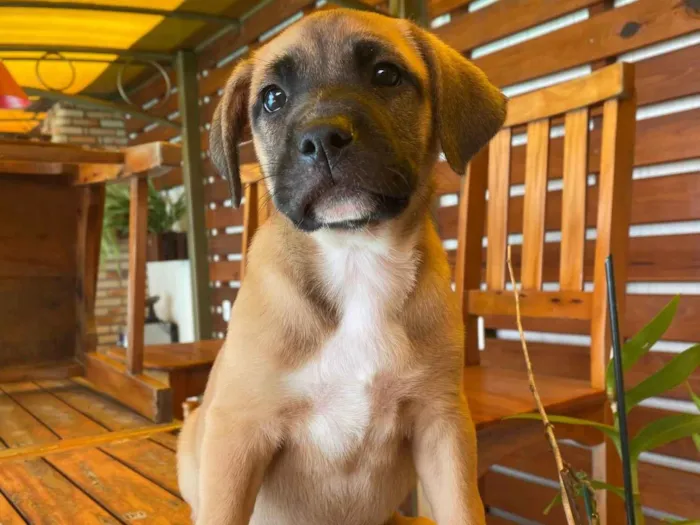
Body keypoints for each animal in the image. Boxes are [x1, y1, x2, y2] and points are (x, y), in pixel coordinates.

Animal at [175, 8, 504, 524]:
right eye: (273, 98)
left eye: (386, 75)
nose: (322, 138)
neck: (354, 255)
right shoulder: (237, 432)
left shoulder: (442, 425)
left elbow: (463, 510)